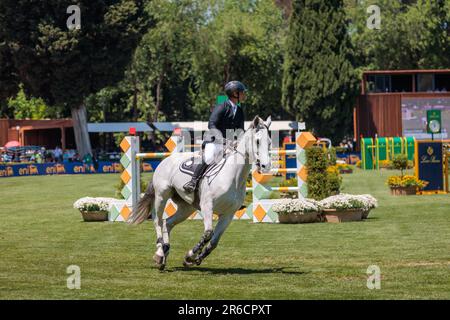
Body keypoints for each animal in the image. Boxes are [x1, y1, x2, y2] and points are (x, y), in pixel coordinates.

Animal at [128, 115, 272, 270]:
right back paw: (160, 252)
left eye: (269, 142)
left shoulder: (228, 214)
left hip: (186, 207)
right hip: (162, 195)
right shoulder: (207, 206)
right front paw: (190, 255)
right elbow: (208, 234)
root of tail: (165, 160)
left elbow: (214, 241)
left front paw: (195, 258)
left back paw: (164, 252)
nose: (266, 166)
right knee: (158, 221)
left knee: (168, 223)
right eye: (257, 141)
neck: (233, 177)